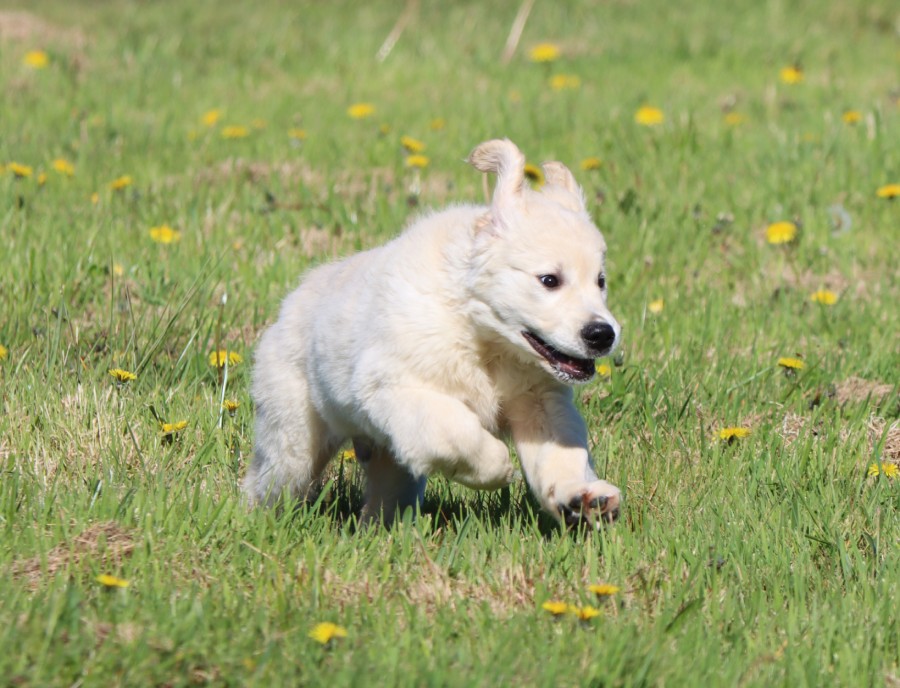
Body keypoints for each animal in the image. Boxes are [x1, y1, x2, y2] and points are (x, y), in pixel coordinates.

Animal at [244, 138, 622, 527]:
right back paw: (257, 519)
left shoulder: (540, 400)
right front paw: (497, 468)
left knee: (386, 492)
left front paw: (583, 496)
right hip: (293, 436)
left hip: (388, 459)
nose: (603, 335)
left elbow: (561, 455)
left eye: (600, 281)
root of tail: (289, 303)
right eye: (549, 280)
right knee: (269, 479)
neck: (484, 338)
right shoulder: (398, 387)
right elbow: (458, 430)